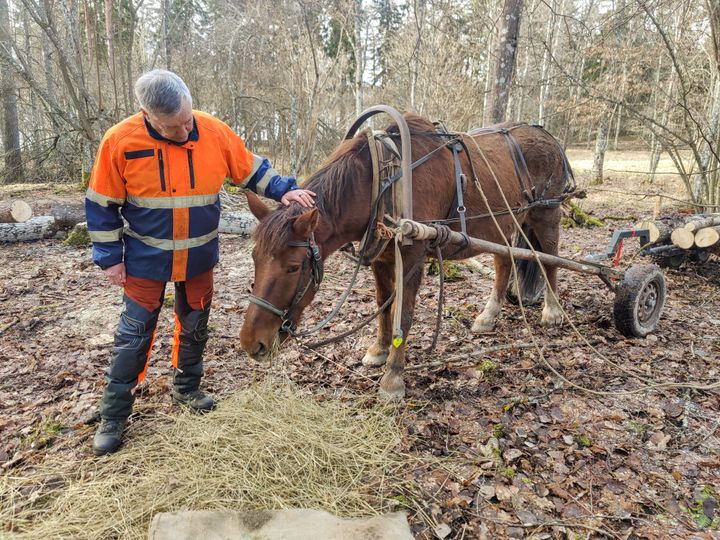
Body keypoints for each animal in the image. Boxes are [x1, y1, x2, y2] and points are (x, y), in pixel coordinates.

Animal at [240, 114, 572, 398]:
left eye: (293, 267)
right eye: (254, 259)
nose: (252, 343)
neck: (380, 184)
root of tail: (547, 136)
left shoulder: (412, 257)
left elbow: (404, 314)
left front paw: (393, 377)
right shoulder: (381, 257)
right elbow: (383, 306)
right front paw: (379, 350)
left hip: (546, 213)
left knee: (551, 259)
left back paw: (553, 310)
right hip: (503, 224)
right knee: (505, 264)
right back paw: (488, 316)